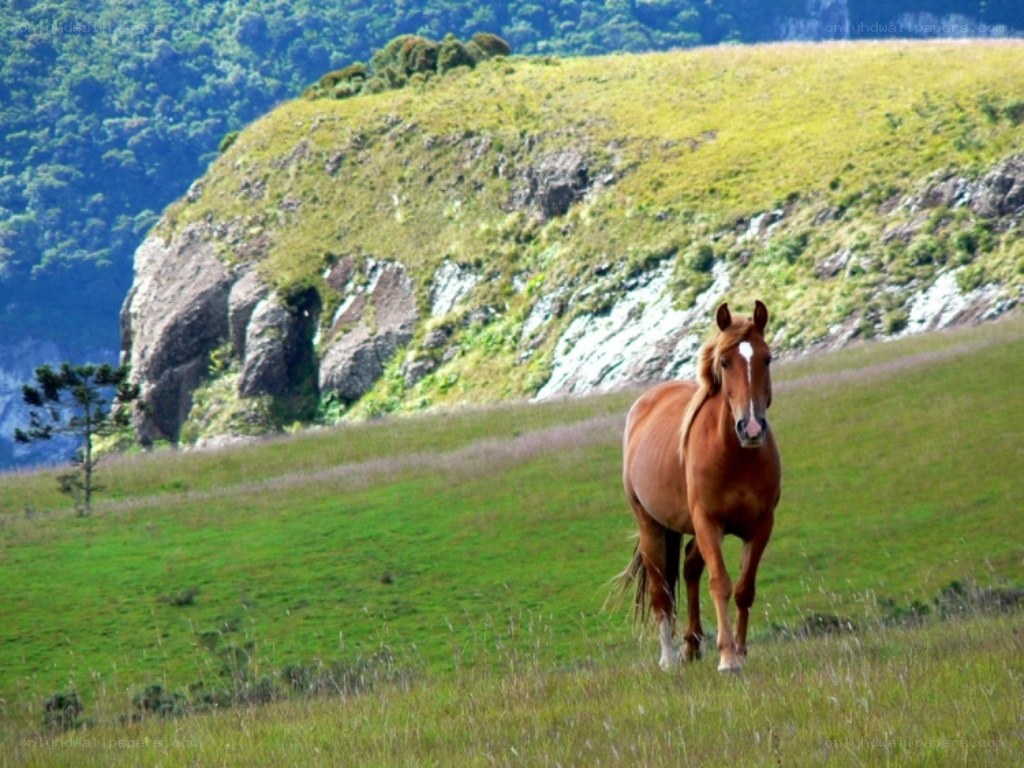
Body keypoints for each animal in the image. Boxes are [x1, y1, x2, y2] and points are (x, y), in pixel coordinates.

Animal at [619, 300, 781, 672]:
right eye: (725, 362)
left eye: (767, 358)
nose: (751, 428)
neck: (735, 457)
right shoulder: (709, 521)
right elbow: (720, 582)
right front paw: (728, 658)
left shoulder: (761, 525)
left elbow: (744, 589)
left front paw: (740, 650)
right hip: (651, 525)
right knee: (661, 588)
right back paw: (669, 657)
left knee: (690, 568)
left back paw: (692, 645)